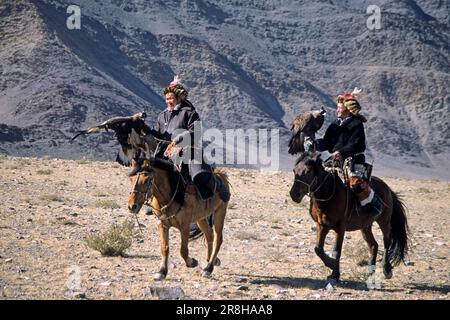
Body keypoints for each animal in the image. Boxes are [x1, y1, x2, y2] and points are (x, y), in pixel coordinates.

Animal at [290, 152, 410, 284]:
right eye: (294, 170)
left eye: (308, 172)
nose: (294, 194)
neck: (330, 194)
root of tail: (388, 189)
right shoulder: (322, 225)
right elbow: (318, 249)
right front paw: (331, 266)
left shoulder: (340, 228)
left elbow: (336, 251)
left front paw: (335, 274)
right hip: (365, 226)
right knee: (374, 245)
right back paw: (371, 271)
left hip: (384, 221)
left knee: (386, 242)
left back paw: (387, 270)